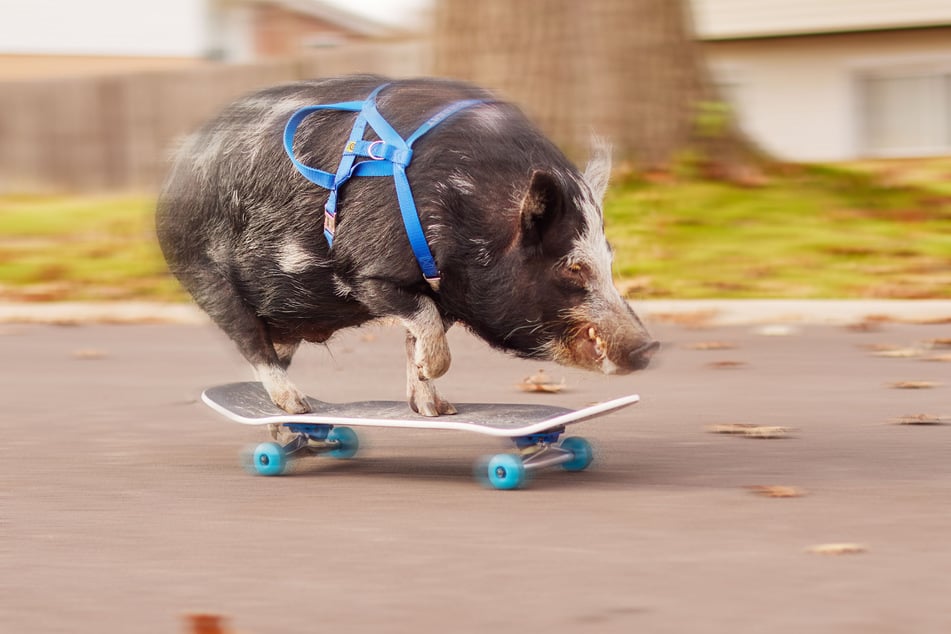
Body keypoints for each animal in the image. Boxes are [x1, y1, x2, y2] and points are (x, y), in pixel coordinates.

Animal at [156, 75, 658, 416]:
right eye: (572, 267)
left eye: (609, 260)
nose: (651, 347)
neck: (472, 209)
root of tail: (175, 171)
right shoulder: (369, 273)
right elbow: (426, 325)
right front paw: (431, 376)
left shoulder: (441, 292)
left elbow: (418, 334)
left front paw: (439, 408)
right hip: (204, 273)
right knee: (251, 342)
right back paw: (297, 407)